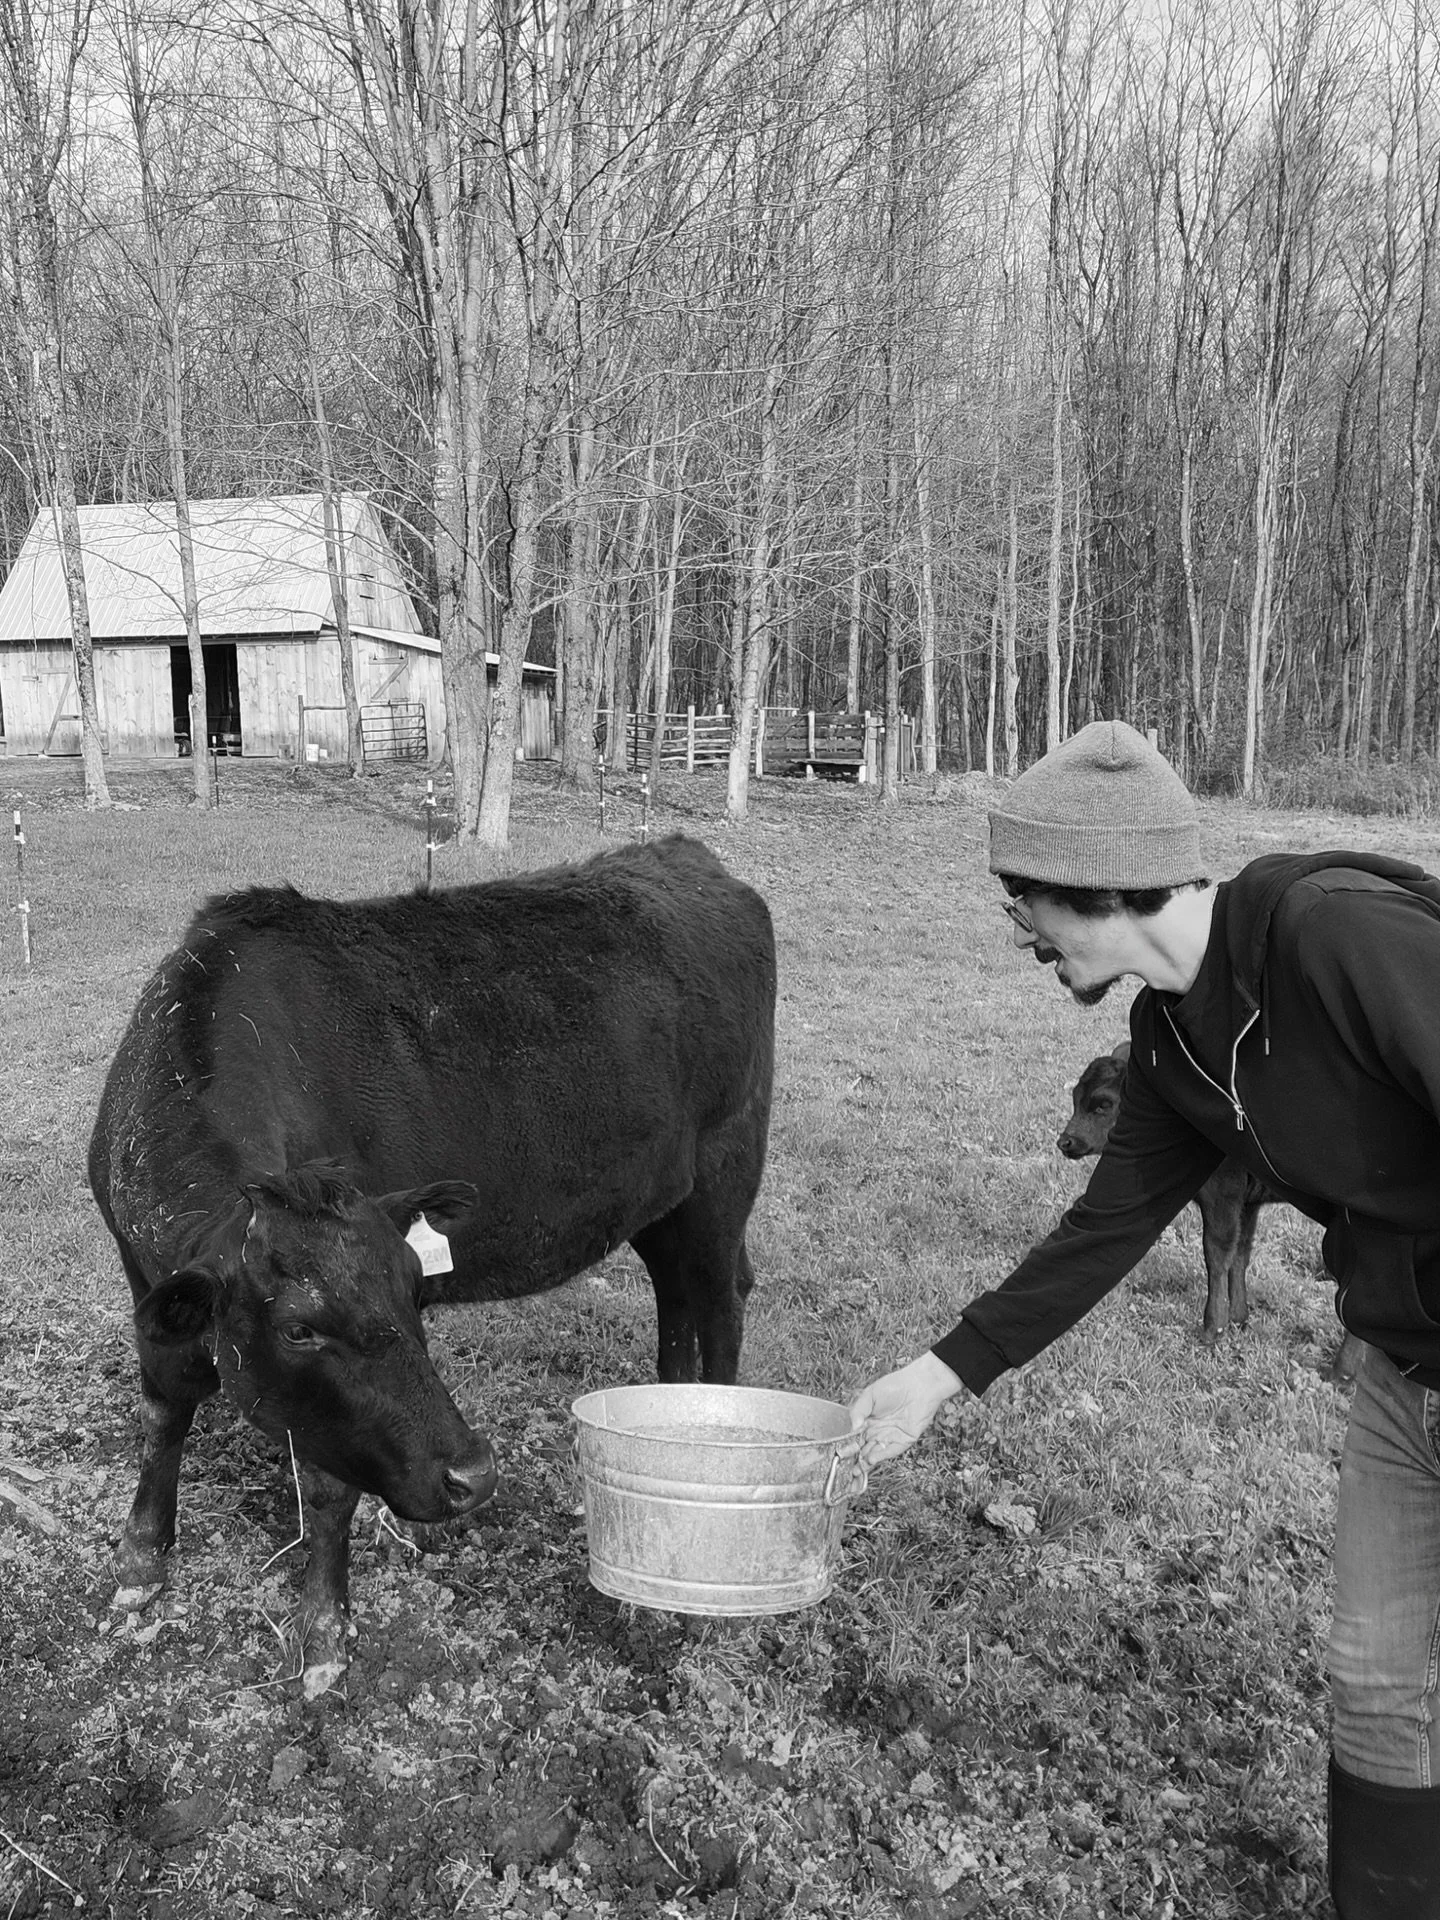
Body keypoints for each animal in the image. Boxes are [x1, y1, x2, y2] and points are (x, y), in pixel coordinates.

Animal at [90, 834, 776, 1696]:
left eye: (419, 1293)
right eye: (299, 1329)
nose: (475, 1474)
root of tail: (688, 857)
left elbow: (327, 1484)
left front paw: (325, 1632)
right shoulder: (142, 1278)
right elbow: (161, 1415)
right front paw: (139, 1560)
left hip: (724, 1174)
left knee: (720, 1304)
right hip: (664, 1203)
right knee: (677, 1302)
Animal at [1058, 1042, 1362, 1380]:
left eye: (1103, 1104)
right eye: (1075, 1098)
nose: (1066, 1141)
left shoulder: (1222, 1195)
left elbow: (1216, 1254)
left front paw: (1212, 1329)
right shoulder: (1247, 1202)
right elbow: (1241, 1253)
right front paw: (1239, 1318)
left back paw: (1342, 1372)